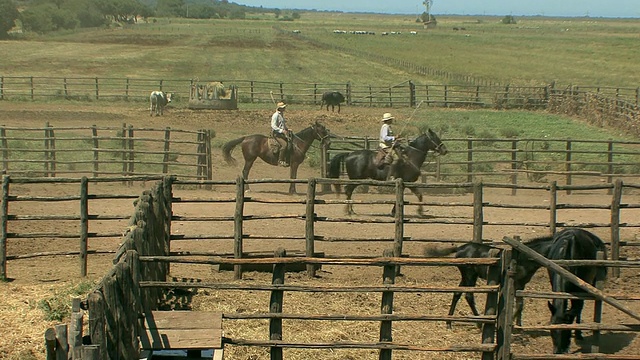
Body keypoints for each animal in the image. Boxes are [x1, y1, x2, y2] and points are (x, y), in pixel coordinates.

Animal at [428, 235, 556, 330]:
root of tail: (460, 248)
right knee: (468, 295)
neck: (523, 258)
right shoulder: (517, 283)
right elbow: (519, 305)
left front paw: (519, 324)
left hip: (467, 276)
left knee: (457, 294)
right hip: (469, 275)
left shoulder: (522, 285)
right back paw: (479, 323)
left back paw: (449, 323)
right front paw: (511, 324)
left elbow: (520, 304)